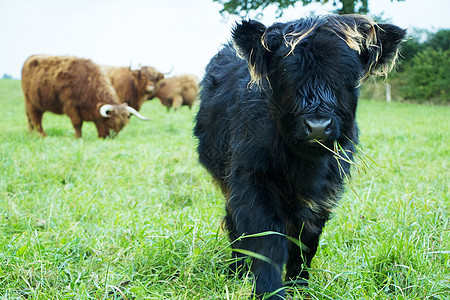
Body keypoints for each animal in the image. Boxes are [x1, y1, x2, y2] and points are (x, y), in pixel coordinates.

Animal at [195, 14, 406, 300]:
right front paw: (269, 291)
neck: (304, 166)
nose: (317, 126)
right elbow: (266, 240)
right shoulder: (251, 181)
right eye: (286, 73)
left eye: (347, 76)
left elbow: (305, 243)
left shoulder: (322, 194)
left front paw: (298, 286)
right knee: (234, 224)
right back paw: (237, 270)